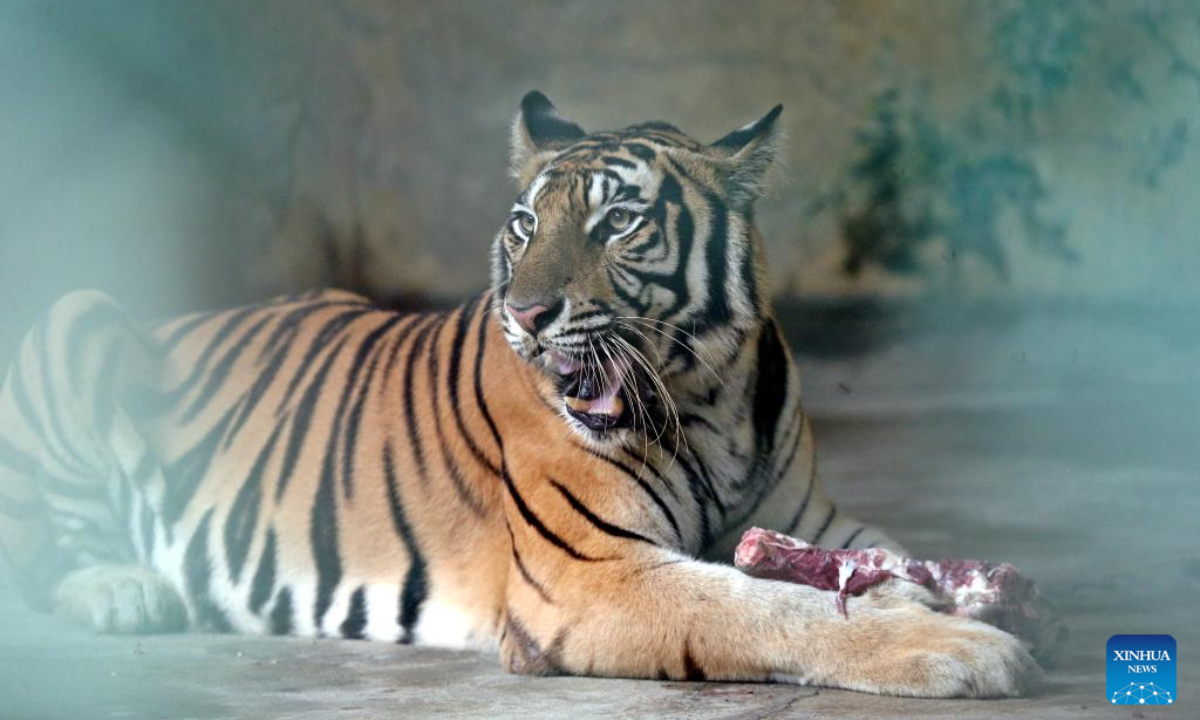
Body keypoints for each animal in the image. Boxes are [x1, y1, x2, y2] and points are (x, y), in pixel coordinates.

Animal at [0, 91, 1041, 696]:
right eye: (524, 224)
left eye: (619, 223)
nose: (529, 313)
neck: (706, 400)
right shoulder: (592, 572)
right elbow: (766, 609)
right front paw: (952, 648)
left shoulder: (815, 524)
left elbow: (881, 559)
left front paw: (961, 598)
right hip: (79, 317)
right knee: (47, 551)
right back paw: (123, 591)